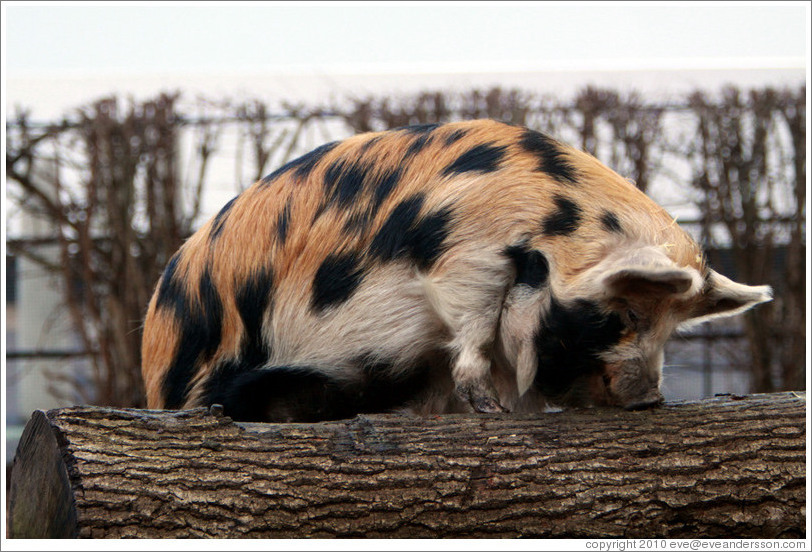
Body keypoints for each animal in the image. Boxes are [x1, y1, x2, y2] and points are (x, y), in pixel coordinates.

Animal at [141, 119, 772, 421]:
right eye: (626, 314)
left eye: (671, 328)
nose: (650, 399)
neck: (549, 226)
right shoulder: (465, 257)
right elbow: (473, 325)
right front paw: (491, 410)